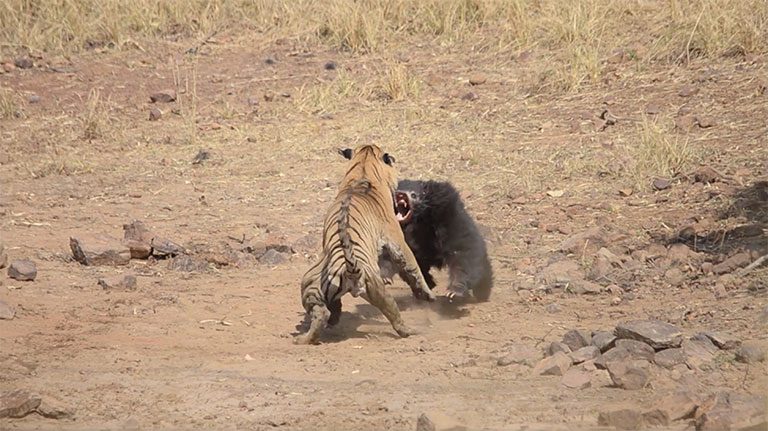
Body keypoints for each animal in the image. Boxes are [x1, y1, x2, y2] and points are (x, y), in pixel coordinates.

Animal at [296, 145, 438, 348]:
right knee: (394, 314)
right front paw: (428, 294)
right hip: (377, 290)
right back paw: (411, 331)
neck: (363, 167)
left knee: (322, 313)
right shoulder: (396, 239)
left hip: (309, 285)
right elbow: (413, 267)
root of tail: (349, 269)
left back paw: (309, 335)